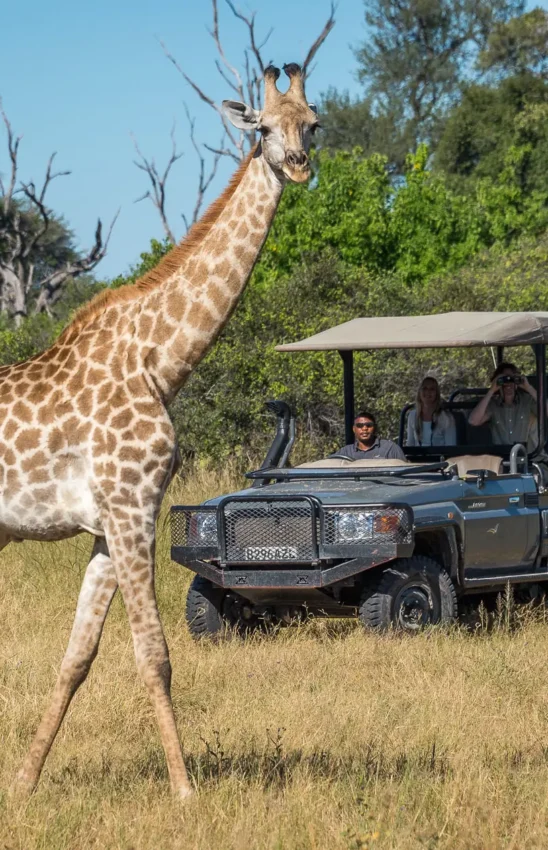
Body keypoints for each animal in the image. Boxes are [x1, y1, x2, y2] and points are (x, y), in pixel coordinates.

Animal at [2, 63, 318, 800]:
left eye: (313, 124)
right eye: (263, 128)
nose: (298, 165)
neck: (160, 362)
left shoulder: (107, 524)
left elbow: (78, 656)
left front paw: (25, 782)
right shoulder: (132, 510)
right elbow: (154, 653)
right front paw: (185, 790)